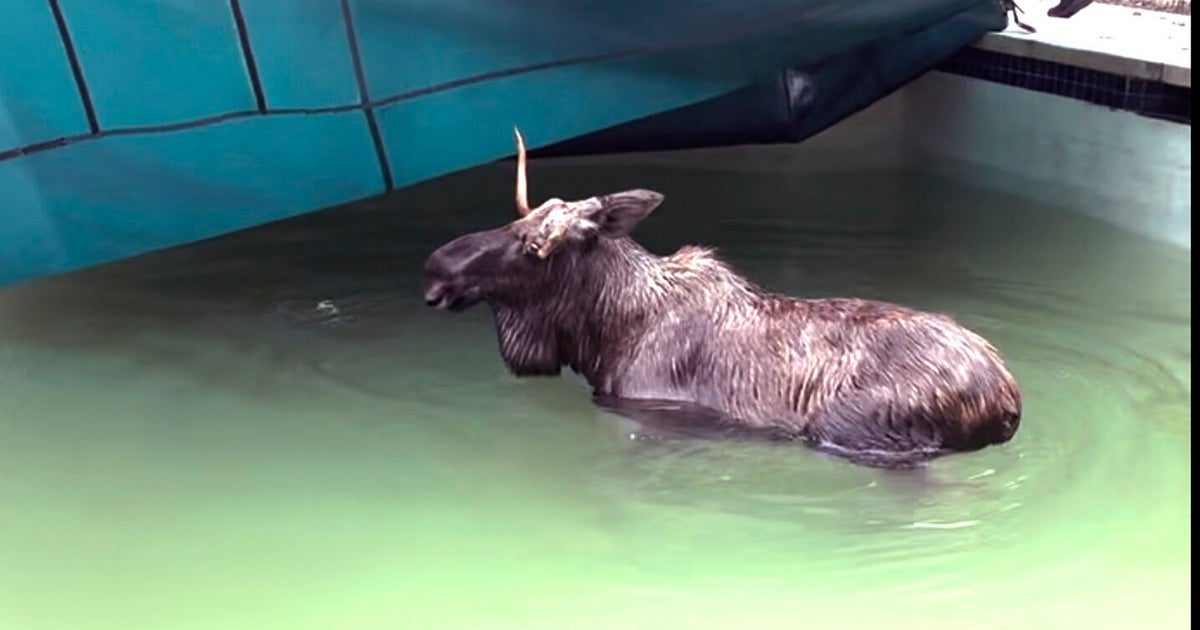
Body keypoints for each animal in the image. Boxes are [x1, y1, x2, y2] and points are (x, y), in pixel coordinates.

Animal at [422, 128, 1022, 468]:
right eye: (518, 221)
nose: (436, 268)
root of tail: (1009, 400)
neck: (601, 332)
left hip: (854, 432)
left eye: (532, 246)